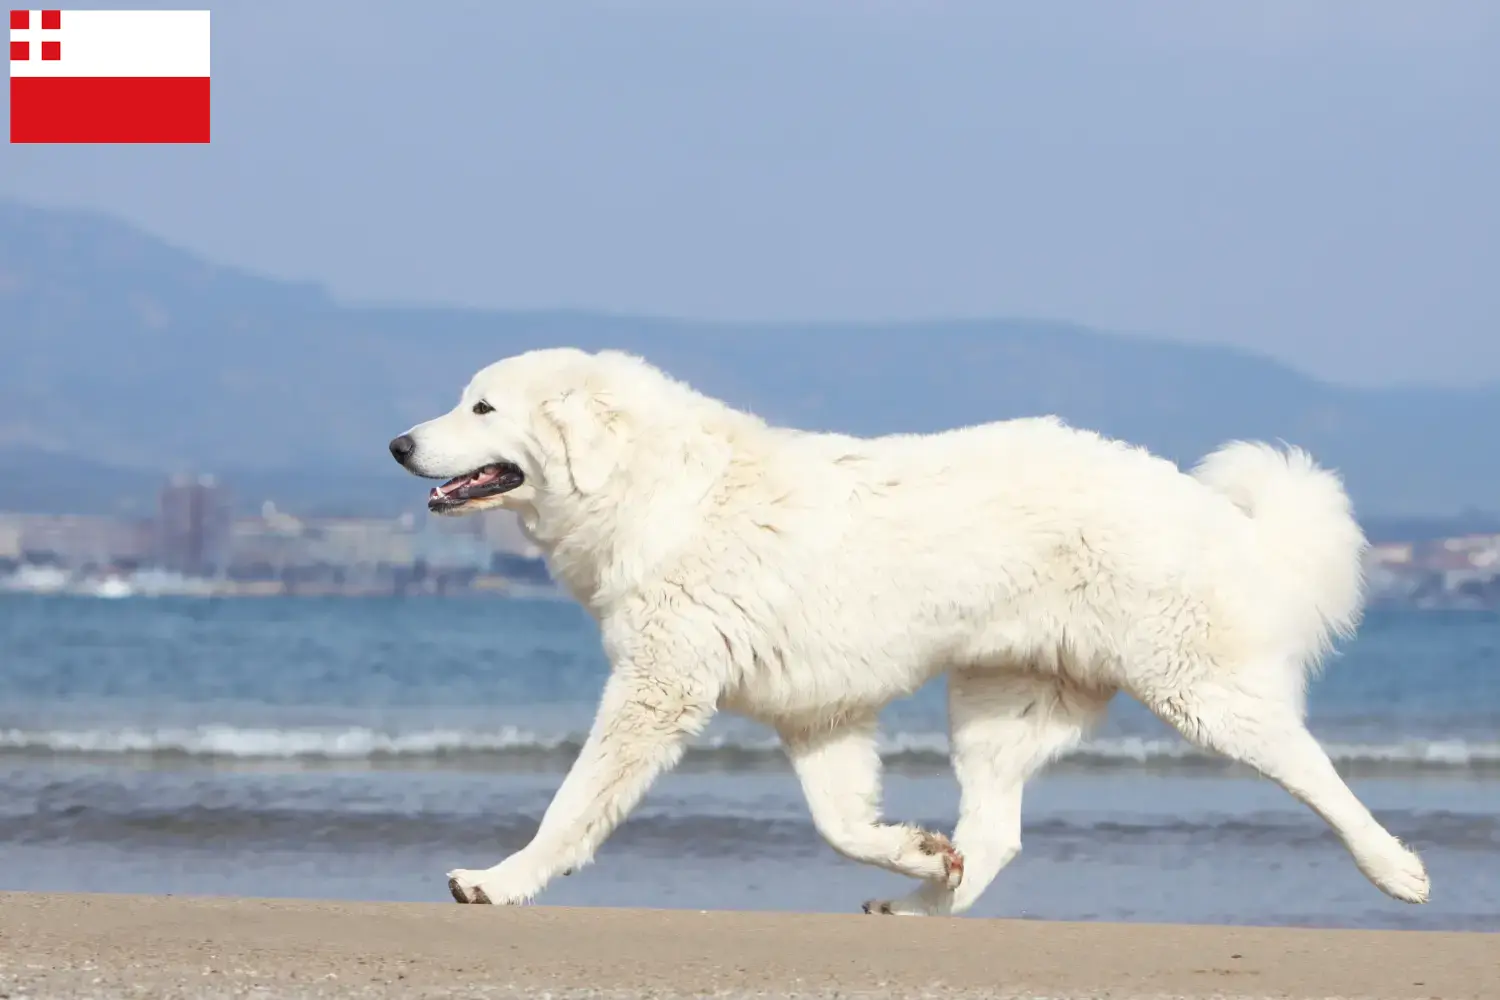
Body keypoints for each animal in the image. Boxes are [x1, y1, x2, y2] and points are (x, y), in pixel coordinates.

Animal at [387, 347, 1428, 917]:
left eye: (482, 406)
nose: (398, 444)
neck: (652, 486)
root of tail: (1197, 500)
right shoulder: (818, 715)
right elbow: (842, 824)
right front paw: (915, 852)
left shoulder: (658, 689)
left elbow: (571, 805)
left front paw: (500, 880)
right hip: (996, 709)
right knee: (998, 837)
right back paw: (925, 898)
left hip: (1197, 692)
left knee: (1314, 769)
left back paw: (1397, 871)